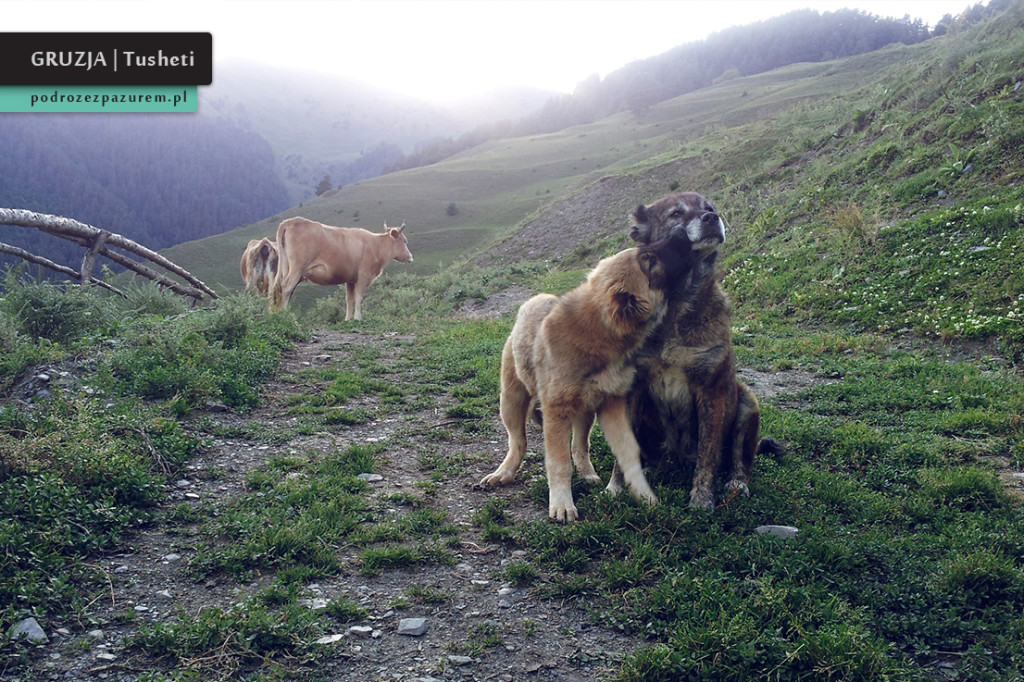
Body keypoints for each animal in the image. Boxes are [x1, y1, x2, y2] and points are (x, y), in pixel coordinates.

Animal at [272, 215, 415, 319]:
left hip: (286, 267)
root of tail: (291, 221)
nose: (411, 257)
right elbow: (358, 297)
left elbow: (349, 299)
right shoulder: (363, 276)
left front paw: (348, 319)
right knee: (287, 288)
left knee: (281, 289)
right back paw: (284, 316)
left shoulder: (350, 279)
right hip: (297, 268)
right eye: (405, 241)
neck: (375, 245)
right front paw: (358, 318)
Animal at [481, 228, 692, 520]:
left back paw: (588, 473)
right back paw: (504, 472)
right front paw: (561, 503)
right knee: (518, 441)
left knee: (579, 445)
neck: (599, 335)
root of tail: (536, 298)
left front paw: (643, 495)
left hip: (586, 411)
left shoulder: (613, 406)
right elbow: (558, 463)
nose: (681, 230)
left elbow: (628, 455)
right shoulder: (556, 411)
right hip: (511, 400)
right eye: (648, 260)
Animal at [606, 188, 774, 507]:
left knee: (739, 459)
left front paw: (702, 498)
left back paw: (737, 482)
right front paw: (616, 486)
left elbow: (708, 453)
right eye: (676, 214)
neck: (676, 303)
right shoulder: (632, 389)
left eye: (710, 207)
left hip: (747, 402)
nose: (712, 218)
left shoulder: (711, 389)